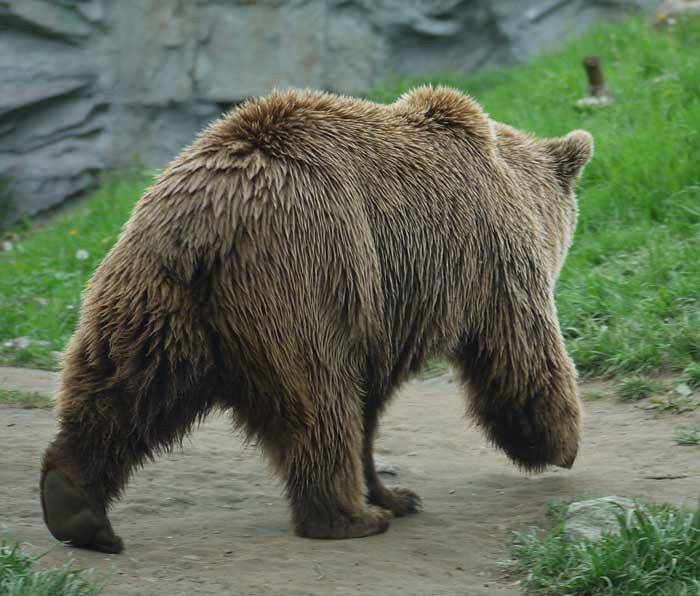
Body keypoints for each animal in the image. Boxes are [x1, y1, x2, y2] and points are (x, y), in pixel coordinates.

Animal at [40, 86, 593, 554]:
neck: (515, 184)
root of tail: (206, 224)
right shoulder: (483, 263)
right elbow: (522, 353)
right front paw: (560, 444)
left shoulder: (389, 313)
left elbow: (373, 404)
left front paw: (393, 492)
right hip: (306, 275)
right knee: (319, 401)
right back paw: (348, 519)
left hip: (153, 293)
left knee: (123, 386)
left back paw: (74, 505)